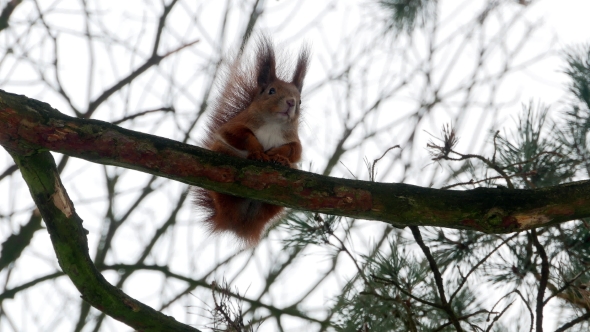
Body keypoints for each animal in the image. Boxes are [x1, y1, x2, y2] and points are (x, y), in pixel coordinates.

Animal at [194, 37, 312, 244]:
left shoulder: (294, 140)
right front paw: (258, 153)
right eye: (271, 91)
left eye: (300, 100)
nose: (290, 102)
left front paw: (278, 156)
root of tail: (236, 222)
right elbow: (241, 136)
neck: (274, 123)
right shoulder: (236, 125)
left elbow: (294, 151)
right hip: (221, 153)